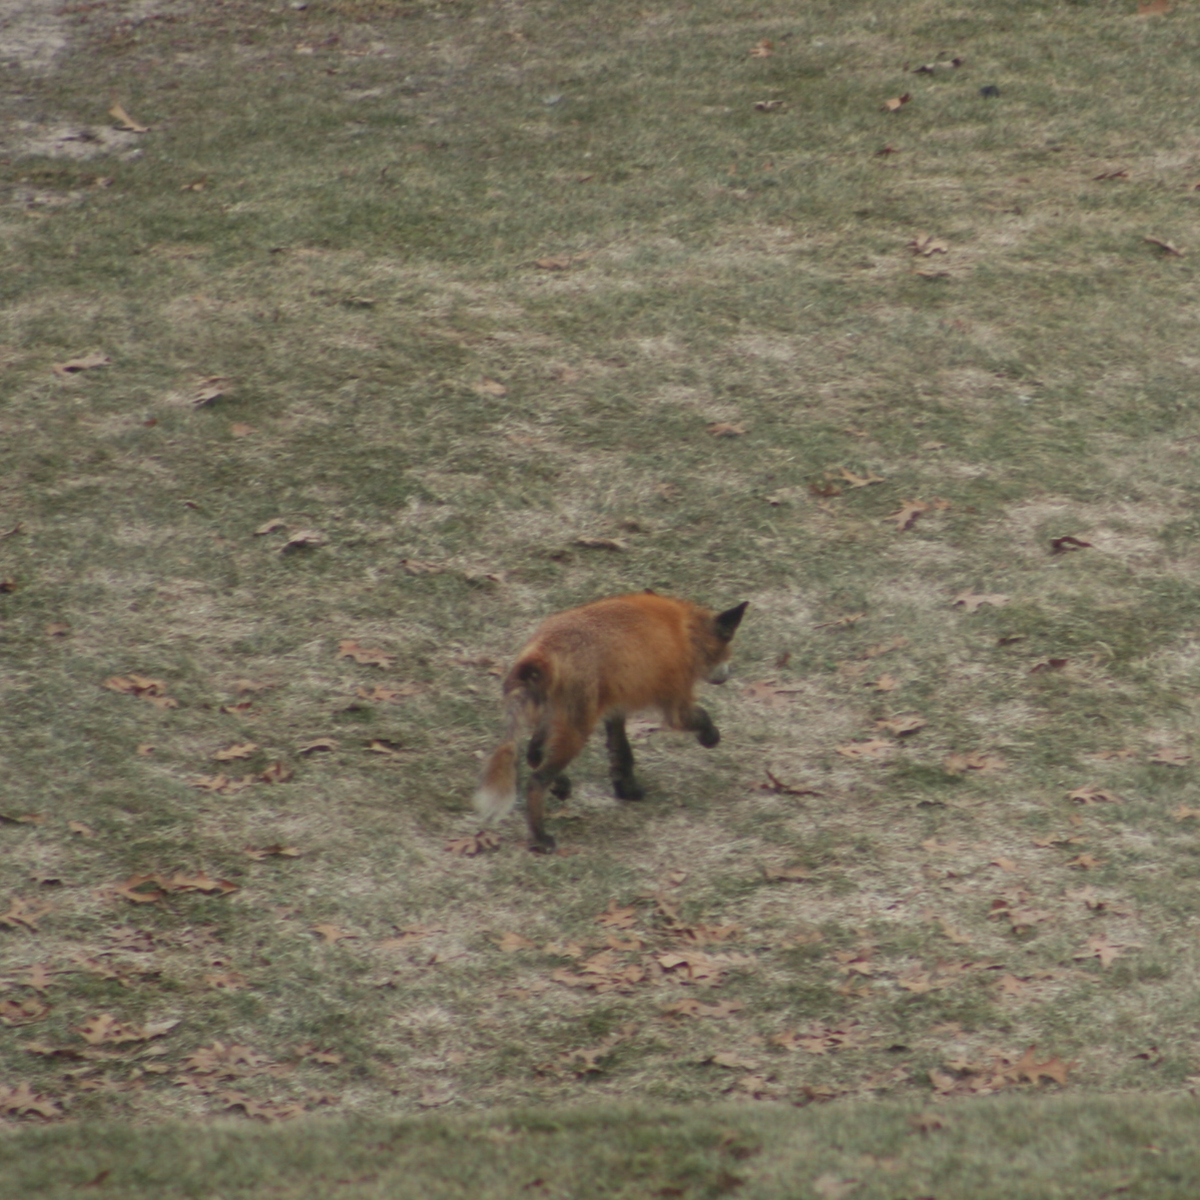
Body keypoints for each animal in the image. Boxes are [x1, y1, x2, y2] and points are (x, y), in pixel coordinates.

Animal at [474, 591, 748, 853]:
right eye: (729, 644)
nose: (729, 674)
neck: (684, 631)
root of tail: (542, 653)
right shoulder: (676, 704)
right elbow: (701, 717)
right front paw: (710, 737)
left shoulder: (615, 709)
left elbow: (621, 753)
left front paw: (626, 788)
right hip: (576, 731)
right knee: (536, 780)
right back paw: (540, 838)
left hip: (556, 719)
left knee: (534, 753)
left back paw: (560, 786)